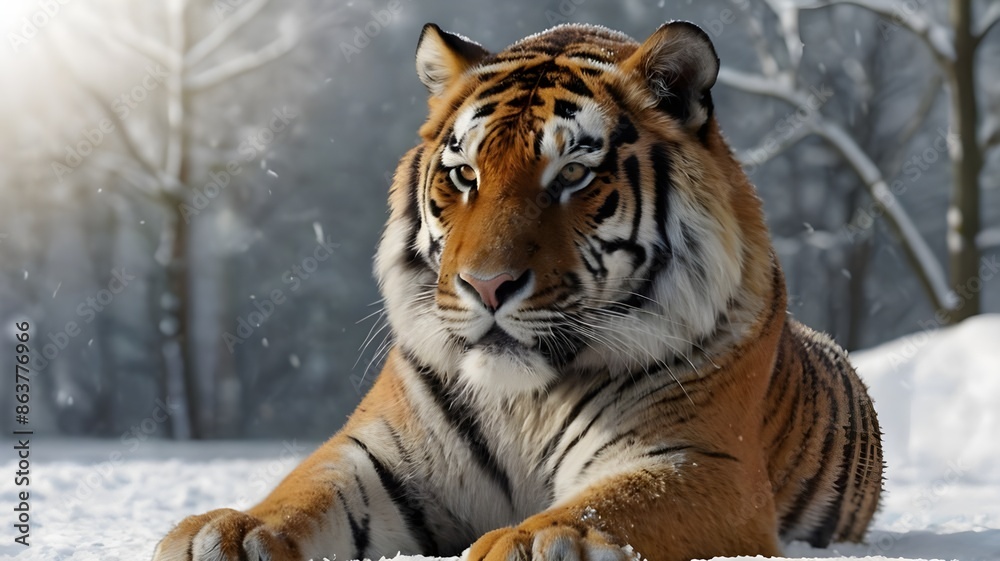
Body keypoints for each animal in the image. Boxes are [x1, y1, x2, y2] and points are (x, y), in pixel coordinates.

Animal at [153, 20, 883, 561]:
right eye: (465, 173)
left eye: (574, 175)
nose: (487, 284)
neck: (522, 400)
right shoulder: (378, 454)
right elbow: (305, 490)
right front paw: (228, 531)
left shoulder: (699, 460)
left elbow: (617, 502)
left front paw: (536, 541)